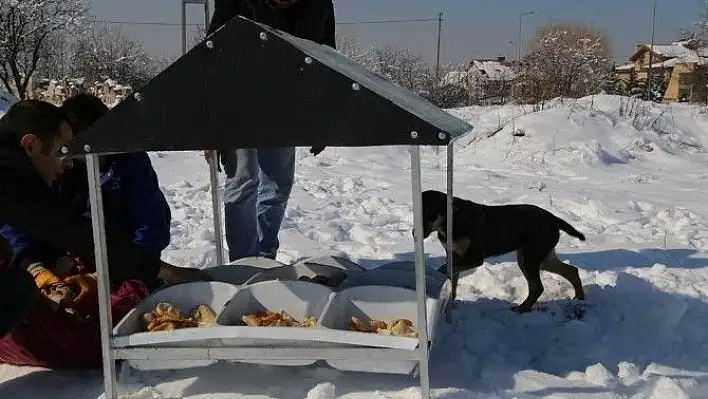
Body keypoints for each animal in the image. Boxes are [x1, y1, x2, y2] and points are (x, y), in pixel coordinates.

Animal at [418, 192, 584, 314]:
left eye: (427, 213)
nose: (415, 233)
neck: (449, 221)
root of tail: (555, 219)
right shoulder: (454, 254)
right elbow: (452, 278)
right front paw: (450, 300)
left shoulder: (474, 258)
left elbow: (445, 269)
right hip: (542, 256)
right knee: (571, 270)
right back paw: (580, 298)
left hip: (529, 257)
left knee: (538, 286)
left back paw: (522, 308)